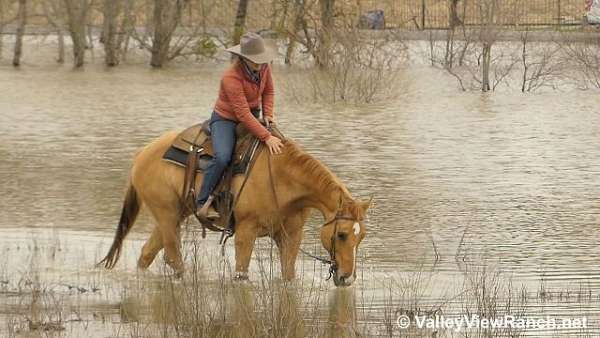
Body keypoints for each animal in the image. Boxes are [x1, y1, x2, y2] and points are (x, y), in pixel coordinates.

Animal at [98, 124, 370, 286]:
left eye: (361, 236)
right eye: (342, 234)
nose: (347, 278)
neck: (283, 178)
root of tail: (142, 153)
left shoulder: (291, 236)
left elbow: (288, 276)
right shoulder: (246, 232)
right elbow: (241, 273)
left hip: (174, 215)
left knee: (148, 254)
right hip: (167, 214)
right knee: (173, 257)